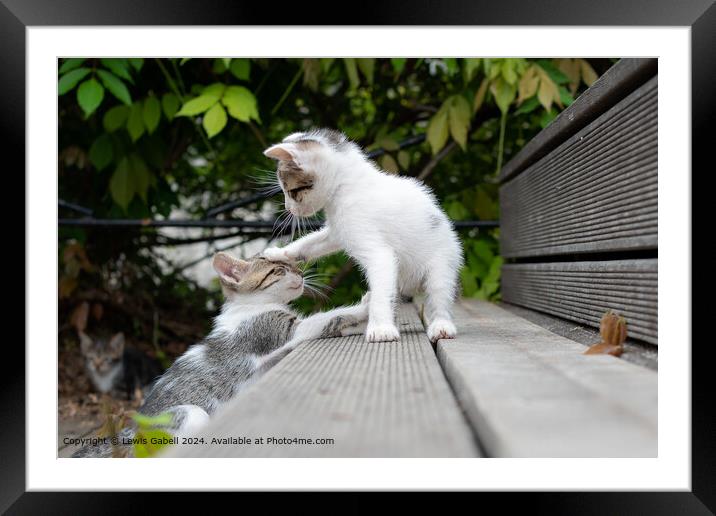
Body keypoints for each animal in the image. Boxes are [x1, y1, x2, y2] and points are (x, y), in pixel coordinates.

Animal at [262, 127, 464, 342]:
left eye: (291, 191)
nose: (287, 208)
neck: (345, 187)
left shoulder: (378, 254)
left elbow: (381, 295)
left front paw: (381, 329)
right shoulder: (338, 231)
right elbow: (309, 243)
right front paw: (279, 253)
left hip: (441, 266)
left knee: (438, 296)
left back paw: (441, 326)